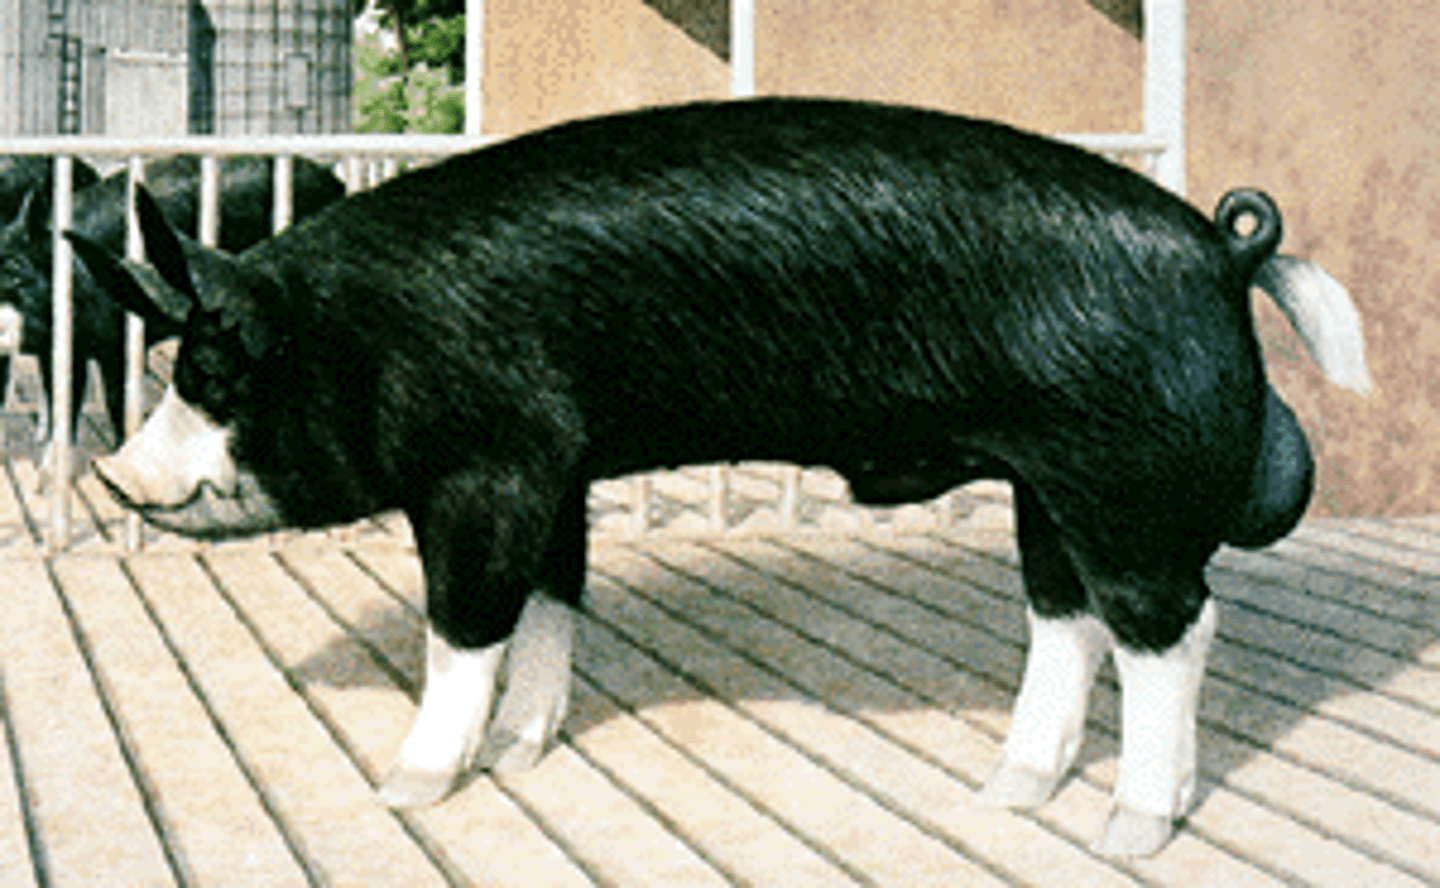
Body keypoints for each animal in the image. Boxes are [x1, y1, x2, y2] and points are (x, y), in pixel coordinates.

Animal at [0, 154, 344, 454]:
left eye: (16, 274)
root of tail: (333, 179)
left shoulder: (118, 342)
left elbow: (117, 402)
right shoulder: (67, 349)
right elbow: (64, 403)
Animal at [69, 98, 1371, 857]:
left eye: (222, 373)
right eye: (180, 364)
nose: (118, 476)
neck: (367, 336)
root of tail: (1217, 245)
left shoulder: (486, 471)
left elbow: (465, 628)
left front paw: (410, 787)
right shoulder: (555, 468)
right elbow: (556, 600)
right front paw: (524, 753)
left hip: (1118, 474)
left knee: (1171, 627)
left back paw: (1125, 834)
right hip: (1046, 488)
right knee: (1070, 618)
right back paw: (1007, 793)